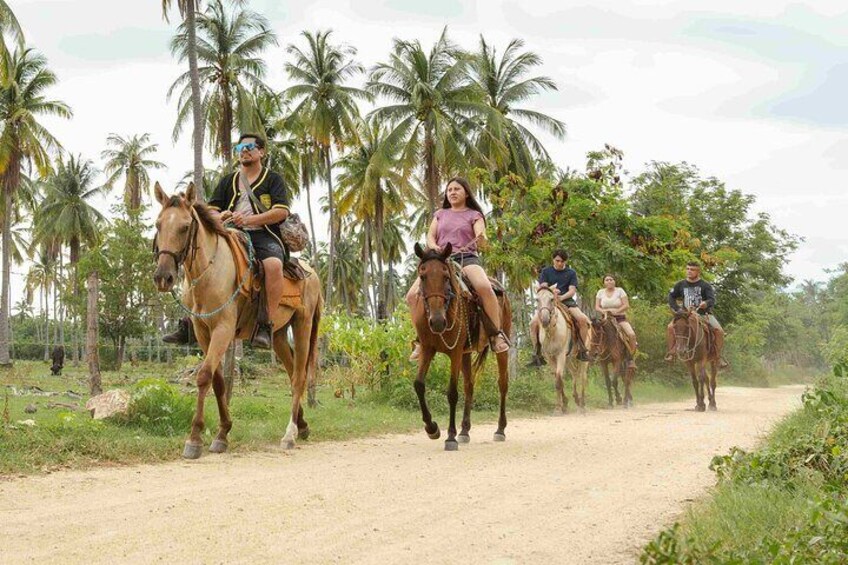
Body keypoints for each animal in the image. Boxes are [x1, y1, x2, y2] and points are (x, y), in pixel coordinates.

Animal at [151, 183, 322, 456]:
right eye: (158, 225)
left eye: (185, 227)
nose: (163, 277)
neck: (211, 272)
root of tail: (312, 272)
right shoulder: (203, 331)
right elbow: (218, 381)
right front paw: (222, 433)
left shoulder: (223, 328)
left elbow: (203, 376)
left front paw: (194, 439)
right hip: (278, 335)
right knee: (289, 370)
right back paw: (302, 425)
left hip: (303, 325)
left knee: (298, 377)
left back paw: (290, 434)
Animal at [410, 242, 510, 450]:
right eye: (422, 276)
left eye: (446, 277)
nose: (437, 322)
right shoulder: (427, 349)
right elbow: (419, 384)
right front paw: (432, 428)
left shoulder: (454, 352)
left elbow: (452, 393)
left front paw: (450, 437)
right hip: (466, 352)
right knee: (469, 386)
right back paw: (464, 431)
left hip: (500, 346)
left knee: (502, 384)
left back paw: (500, 430)